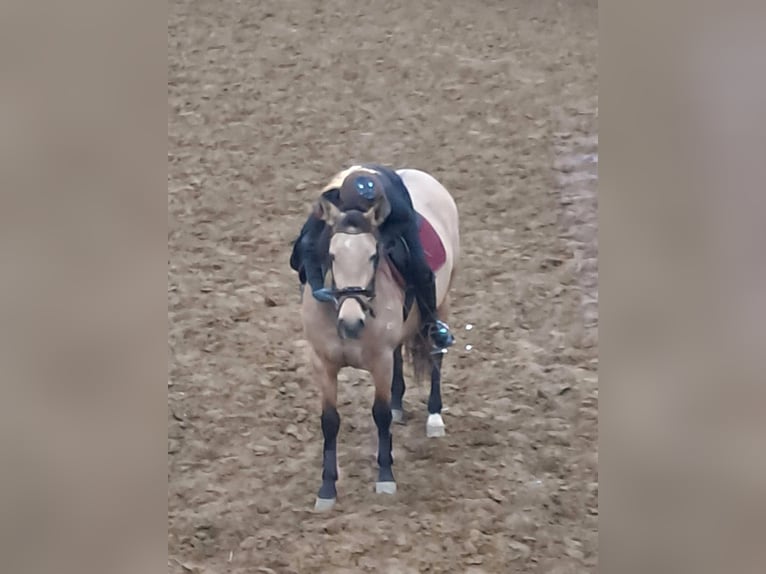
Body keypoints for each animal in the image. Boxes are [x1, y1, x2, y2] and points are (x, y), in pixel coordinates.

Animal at [298, 167, 460, 511]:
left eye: (374, 256)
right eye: (332, 255)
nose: (351, 322)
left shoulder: (380, 361)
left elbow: (380, 415)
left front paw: (385, 477)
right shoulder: (323, 363)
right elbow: (329, 421)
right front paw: (326, 489)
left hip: (442, 303)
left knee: (436, 356)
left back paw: (434, 417)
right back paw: (401, 404)